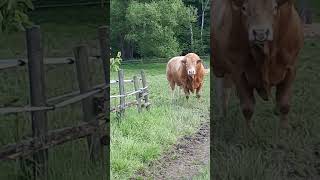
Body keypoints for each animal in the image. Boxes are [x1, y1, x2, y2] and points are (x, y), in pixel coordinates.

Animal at [211, 0, 304, 129]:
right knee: (222, 92)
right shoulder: (238, 71)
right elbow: (247, 107)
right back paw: (222, 117)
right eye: (244, 8)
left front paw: (285, 128)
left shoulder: (291, 67)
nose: (260, 33)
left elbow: (284, 104)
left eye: (275, 8)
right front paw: (249, 131)